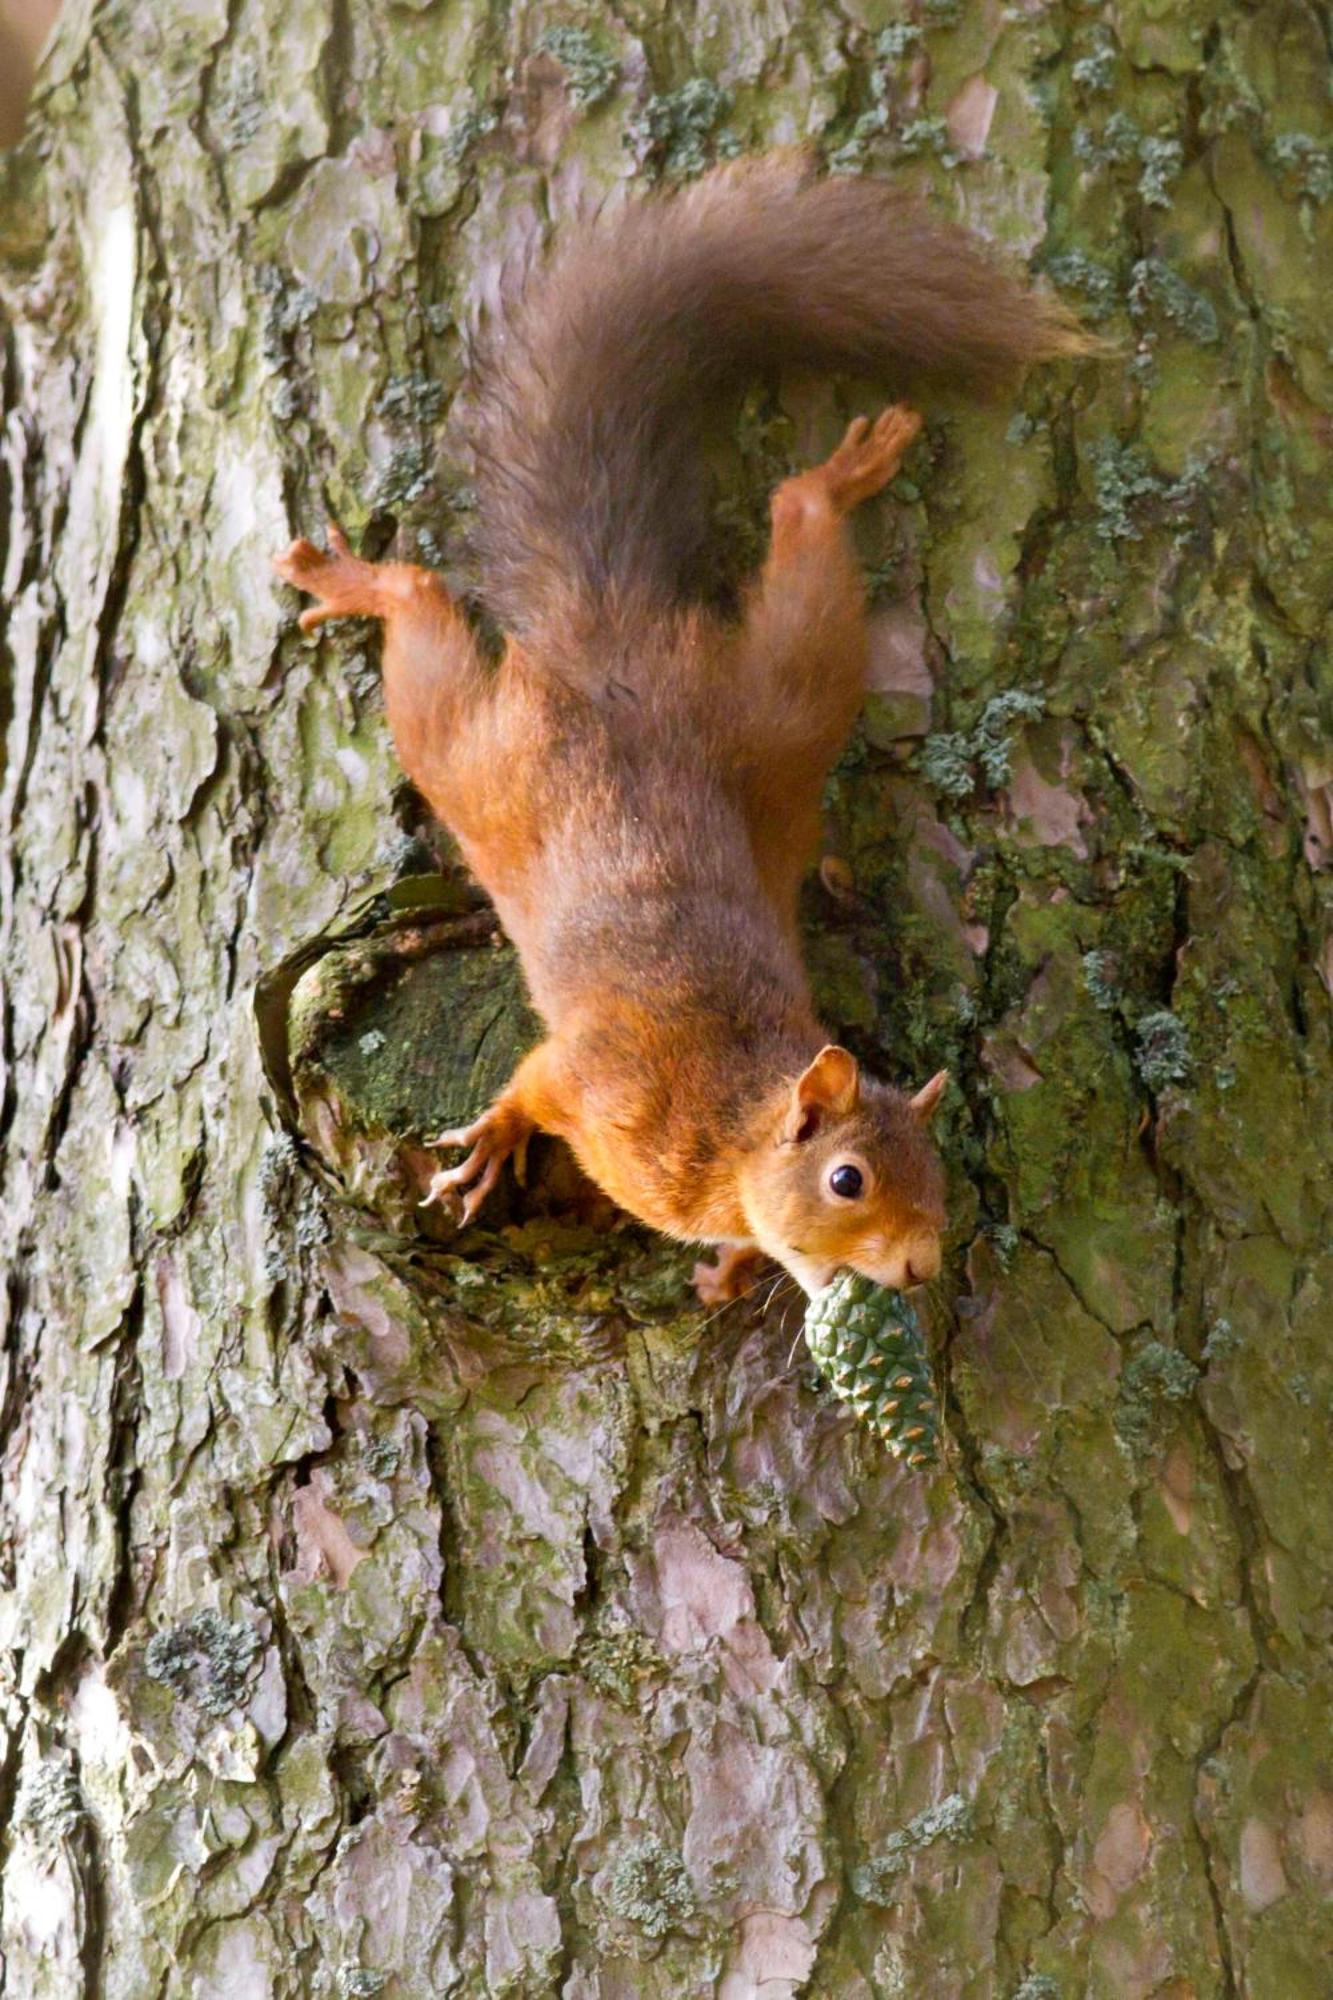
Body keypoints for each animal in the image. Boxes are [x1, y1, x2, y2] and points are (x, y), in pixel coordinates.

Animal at [272, 160, 1080, 1312]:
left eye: (940, 1175)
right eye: (847, 1178)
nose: (920, 1266)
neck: (733, 1135)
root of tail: (611, 645)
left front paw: (735, 1266)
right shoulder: (606, 1088)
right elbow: (534, 1081)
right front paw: (497, 1140)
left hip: (781, 710)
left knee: (796, 539)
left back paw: (841, 477)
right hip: (482, 756)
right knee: (422, 611)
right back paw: (357, 581)